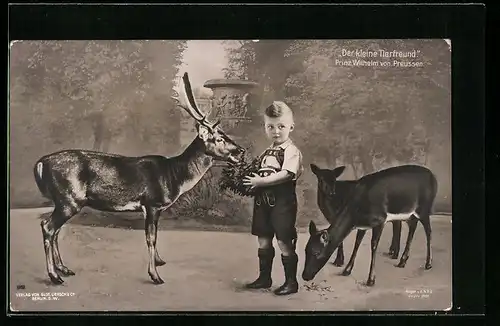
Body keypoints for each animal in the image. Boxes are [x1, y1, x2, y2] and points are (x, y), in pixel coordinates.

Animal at [32, 72, 244, 286]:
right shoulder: (152, 203)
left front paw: (159, 261)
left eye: (226, 134)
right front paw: (155, 275)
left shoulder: (150, 208)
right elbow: (151, 238)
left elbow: (153, 235)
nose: (241, 151)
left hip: (63, 201)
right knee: (48, 227)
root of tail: (41, 163)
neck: (174, 176)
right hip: (69, 199)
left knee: (55, 229)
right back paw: (54, 276)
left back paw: (64, 268)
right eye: (219, 138)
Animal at [300, 166, 438, 286]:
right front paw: (347, 270)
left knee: (429, 230)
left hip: (424, 208)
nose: (305, 276)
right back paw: (402, 261)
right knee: (413, 226)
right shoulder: (362, 225)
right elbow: (357, 243)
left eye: (316, 252)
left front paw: (371, 279)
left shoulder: (380, 220)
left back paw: (428, 263)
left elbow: (373, 245)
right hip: (410, 214)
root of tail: (433, 176)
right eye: (305, 250)